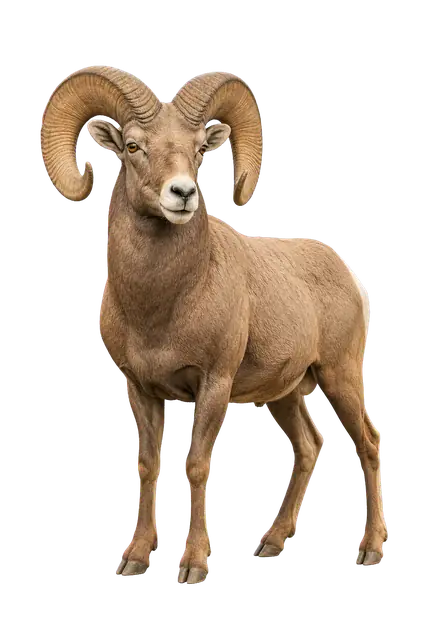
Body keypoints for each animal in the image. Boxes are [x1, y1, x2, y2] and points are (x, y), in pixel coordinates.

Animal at [40, 65, 389, 584]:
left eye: (201, 149)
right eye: (133, 146)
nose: (182, 194)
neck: (161, 310)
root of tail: (344, 271)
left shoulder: (214, 385)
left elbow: (198, 466)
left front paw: (192, 568)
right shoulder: (140, 389)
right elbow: (149, 466)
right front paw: (134, 561)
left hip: (340, 377)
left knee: (367, 444)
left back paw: (369, 550)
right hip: (285, 395)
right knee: (309, 447)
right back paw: (270, 544)